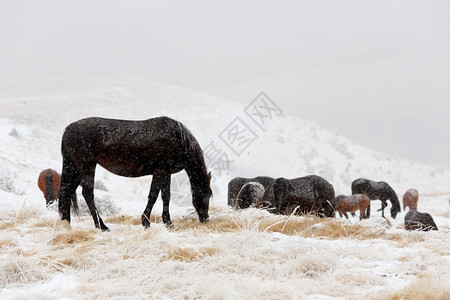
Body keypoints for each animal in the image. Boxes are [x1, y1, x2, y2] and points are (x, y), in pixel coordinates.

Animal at [59, 116, 212, 231]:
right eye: (206, 195)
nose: (205, 218)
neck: (178, 138)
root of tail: (68, 129)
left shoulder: (166, 173)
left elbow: (166, 196)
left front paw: (168, 222)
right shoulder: (160, 172)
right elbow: (153, 196)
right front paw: (146, 222)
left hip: (75, 169)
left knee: (66, 191)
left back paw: (66, 225)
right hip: (87, 166)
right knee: (87, 193)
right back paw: (101, 226)